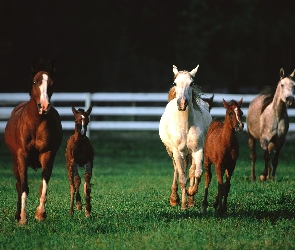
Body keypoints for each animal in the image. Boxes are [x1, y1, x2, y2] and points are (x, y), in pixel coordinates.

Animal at [4, 59, 62, 225]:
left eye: (52, 83)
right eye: (35, 82)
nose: (44, 106)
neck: (36, 123)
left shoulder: (48, 155)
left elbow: (44, 183)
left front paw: (40, 214)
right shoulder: (21, 157)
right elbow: (24, 186)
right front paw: (23, 218)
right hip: (15, 163)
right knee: (18, 185)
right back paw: (17, 215)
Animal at [160, 64, 213, 209]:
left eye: (192, 83)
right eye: (175, 83)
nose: (182, 103)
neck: (185, 126)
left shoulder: (198, 150)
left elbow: (197, 173)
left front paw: (191, 193)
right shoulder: (177, 152)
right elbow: (182, 178)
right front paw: (183, 205)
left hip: (189, 154)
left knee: (190, 170)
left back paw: (190, 199)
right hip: (172, 152)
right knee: (177, 171)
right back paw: (175, 198)